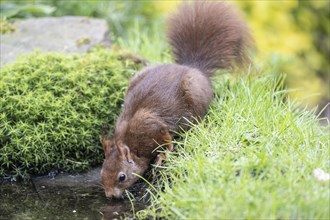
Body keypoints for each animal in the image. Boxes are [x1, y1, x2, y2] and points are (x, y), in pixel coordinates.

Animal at [100, 0, 253, 199]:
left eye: (122, 177)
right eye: (102, 173)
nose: (110, 195)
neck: (132, 145)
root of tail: (194, 68)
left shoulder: (153, 126)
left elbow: (167, 141)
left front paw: (162, 156)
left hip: (194, 99)